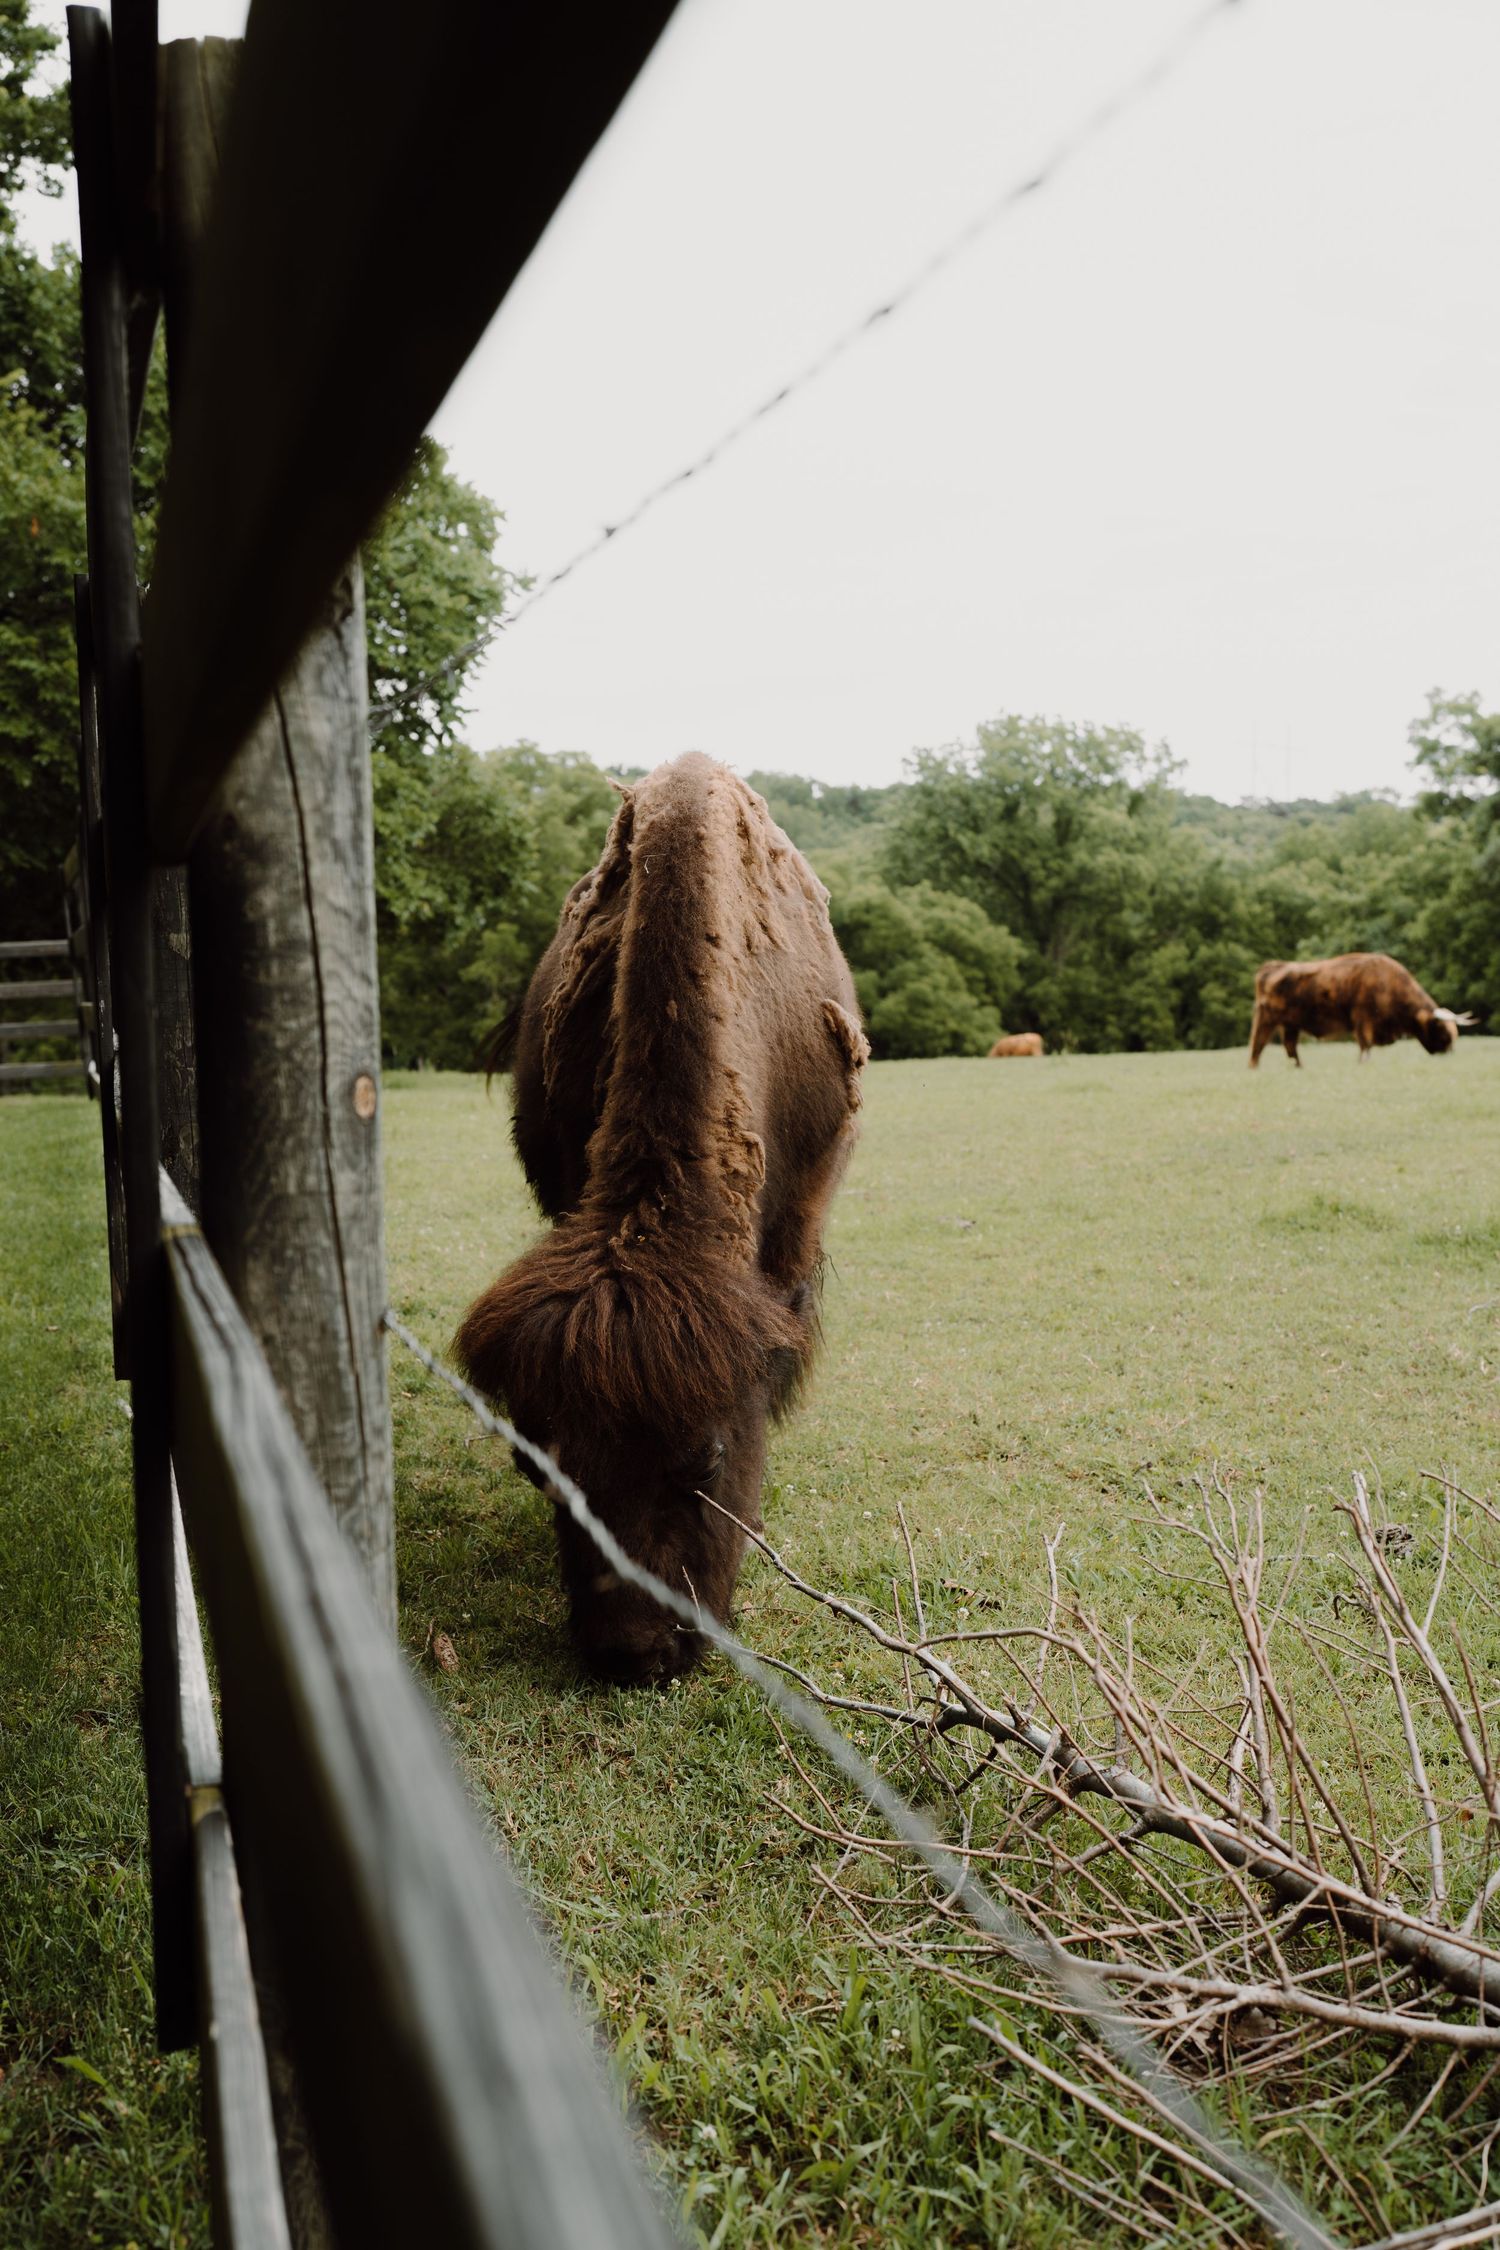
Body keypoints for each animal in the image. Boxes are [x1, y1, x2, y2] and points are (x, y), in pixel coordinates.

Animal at [1248, 953, 1476, 1067]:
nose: (1447, 1053)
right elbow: (1365, 1044)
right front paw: (1363, 1063)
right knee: (1258, 1043)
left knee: (1290, 1046)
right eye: (1442, 1031)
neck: (1390, 983)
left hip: (1291, 1024)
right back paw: (1254, 1066)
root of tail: (1271, 966)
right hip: (1267, 1019)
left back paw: (1298, 1066)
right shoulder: (1363, 1019)